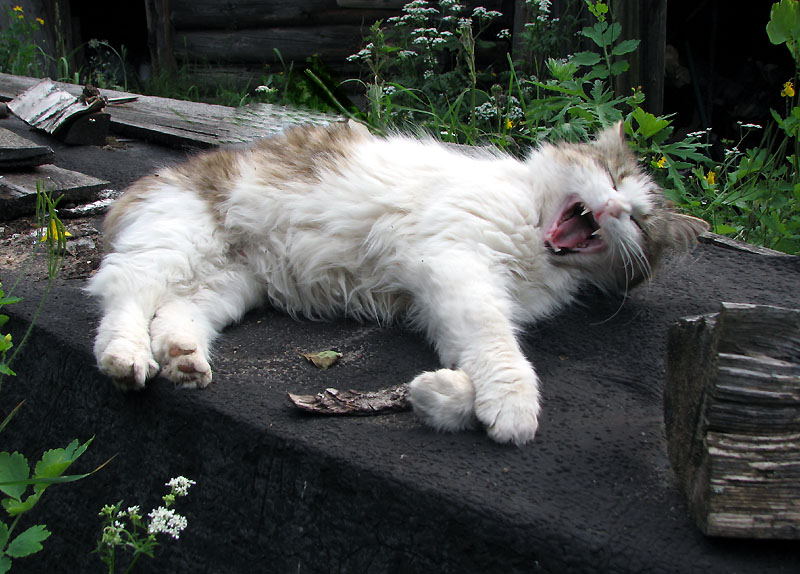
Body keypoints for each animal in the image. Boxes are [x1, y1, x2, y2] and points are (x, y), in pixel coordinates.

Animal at [86, 120, 708, 446]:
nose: (614, 209)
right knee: (125, 298)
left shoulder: (438, 297)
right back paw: (127, 358)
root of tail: (156, 177)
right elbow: (500, 351)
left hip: (228, 284)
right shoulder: (456, 266)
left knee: (175, 314)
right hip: (175, 244)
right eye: (612, 179)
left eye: (639, 221)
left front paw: (442, 397)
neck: (536, 239)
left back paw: (183, 359)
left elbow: (463, 367)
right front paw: (511, 407)